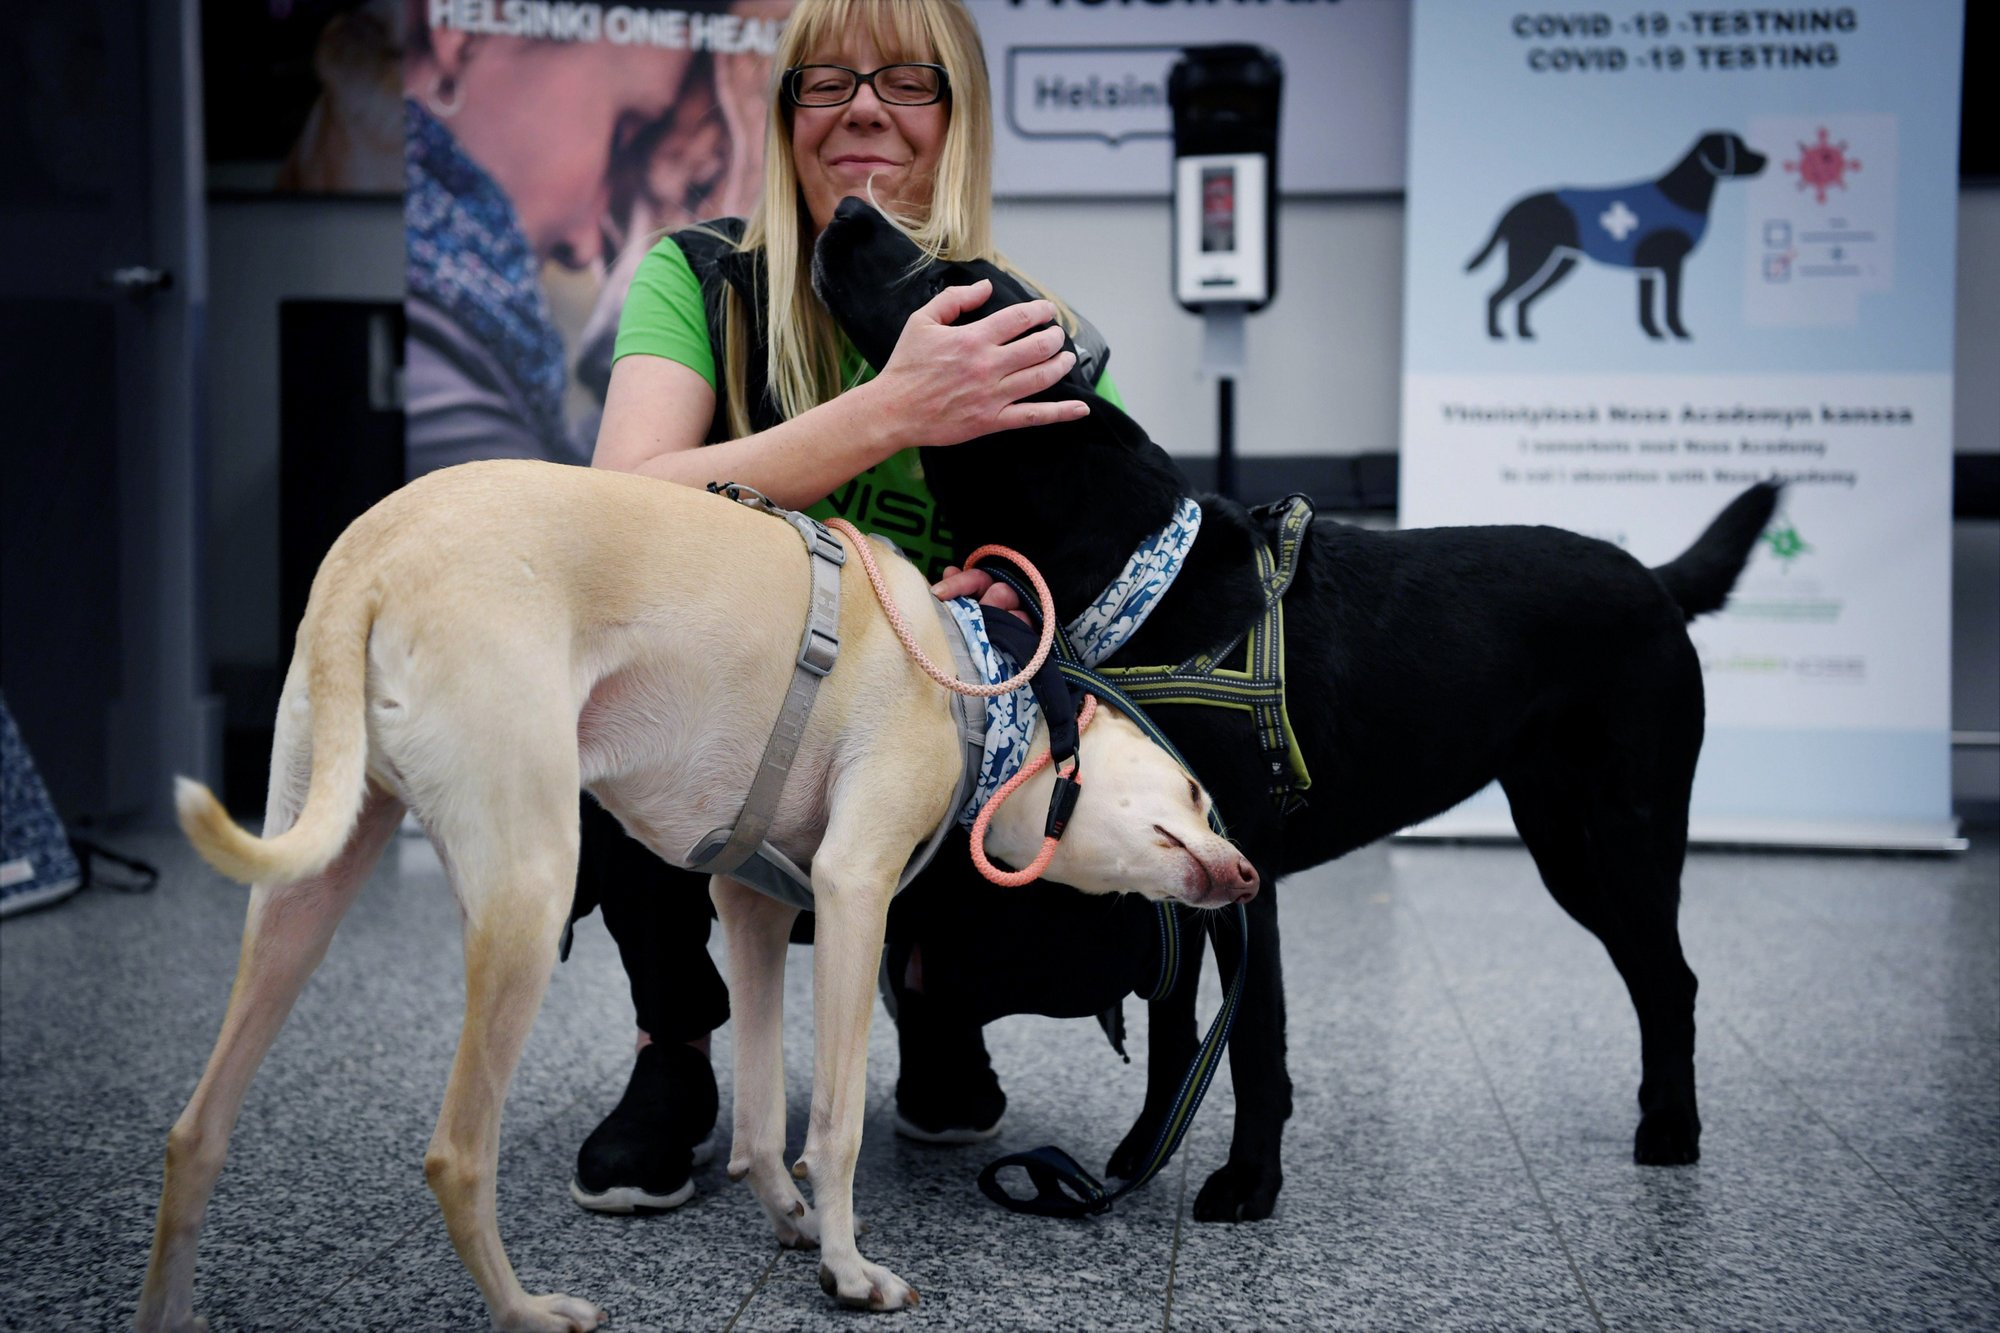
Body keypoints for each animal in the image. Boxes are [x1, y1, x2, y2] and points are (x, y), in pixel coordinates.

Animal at [812, 192, 1784, 1216]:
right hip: (1566, 840)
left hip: (1624, 834)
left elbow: (1251, 1044)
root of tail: (1657, 579)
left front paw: (1248, 1181)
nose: (847, 206)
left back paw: (1671, 1127)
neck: (1140, 571)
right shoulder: (1172, 868)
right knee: (1654, 974)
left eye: (944, 276)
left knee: (1671, 977)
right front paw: (1143, 1151)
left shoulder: (1245, 871)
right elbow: (1174, 1032)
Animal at [1472, 130, 1768, 340]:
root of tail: (1515, 207)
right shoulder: (1672, 265)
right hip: (1530, 259)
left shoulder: (1648, 269)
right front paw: (1677, 332)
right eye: (1739, 147)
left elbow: (1647, 306)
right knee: (1496, 295)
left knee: (1522, 299)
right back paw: (1498, 334)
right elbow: (1670, 305)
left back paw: (1524, 333)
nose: (1766, 159)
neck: (1679, 194)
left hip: (1560, 262)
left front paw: (1654, 333)